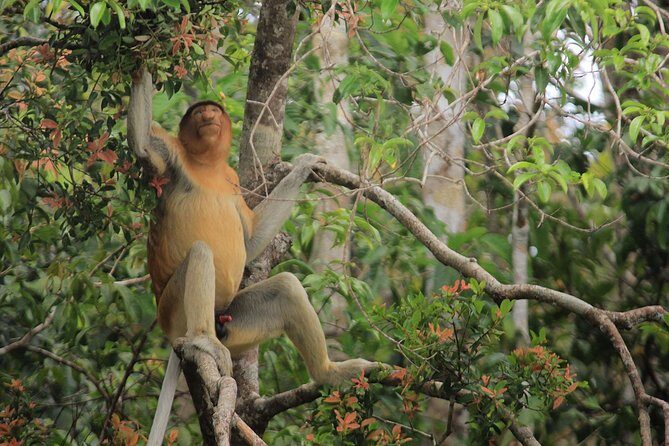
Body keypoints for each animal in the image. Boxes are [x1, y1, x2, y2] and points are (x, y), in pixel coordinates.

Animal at [126, 67, 375, 442]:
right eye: (197, 111)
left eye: (212, 110)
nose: (208, 114)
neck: (206, 165)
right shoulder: (168, 155)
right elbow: (142, 142)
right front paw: (141, 58)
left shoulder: (231, 179)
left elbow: (251, 239)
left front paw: (303, 167)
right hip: (172, 309)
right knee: (200, 253)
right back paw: (204, 342)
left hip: (233, 320)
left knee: (286, 287)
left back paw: (328, 373)